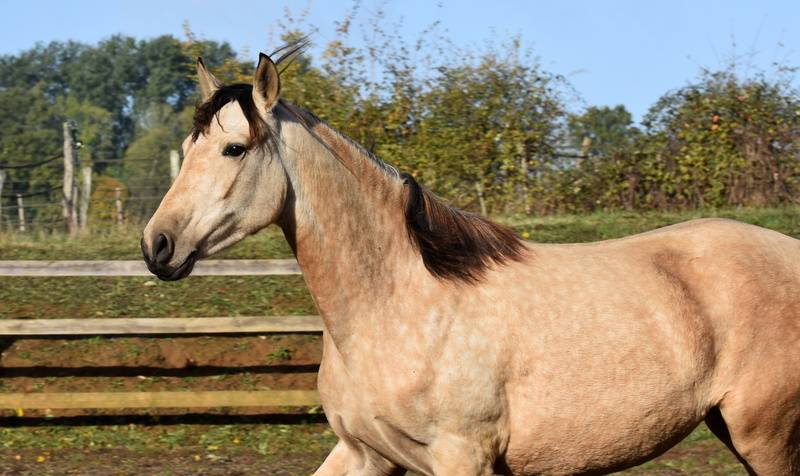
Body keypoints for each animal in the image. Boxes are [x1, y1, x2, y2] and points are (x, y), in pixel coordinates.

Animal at [141, 50, 800, 475]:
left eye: (234, 148)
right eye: (186, 148)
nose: (158, 246)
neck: (399, 304)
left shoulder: (463, 455)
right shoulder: (364, 452)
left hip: (765, 436)